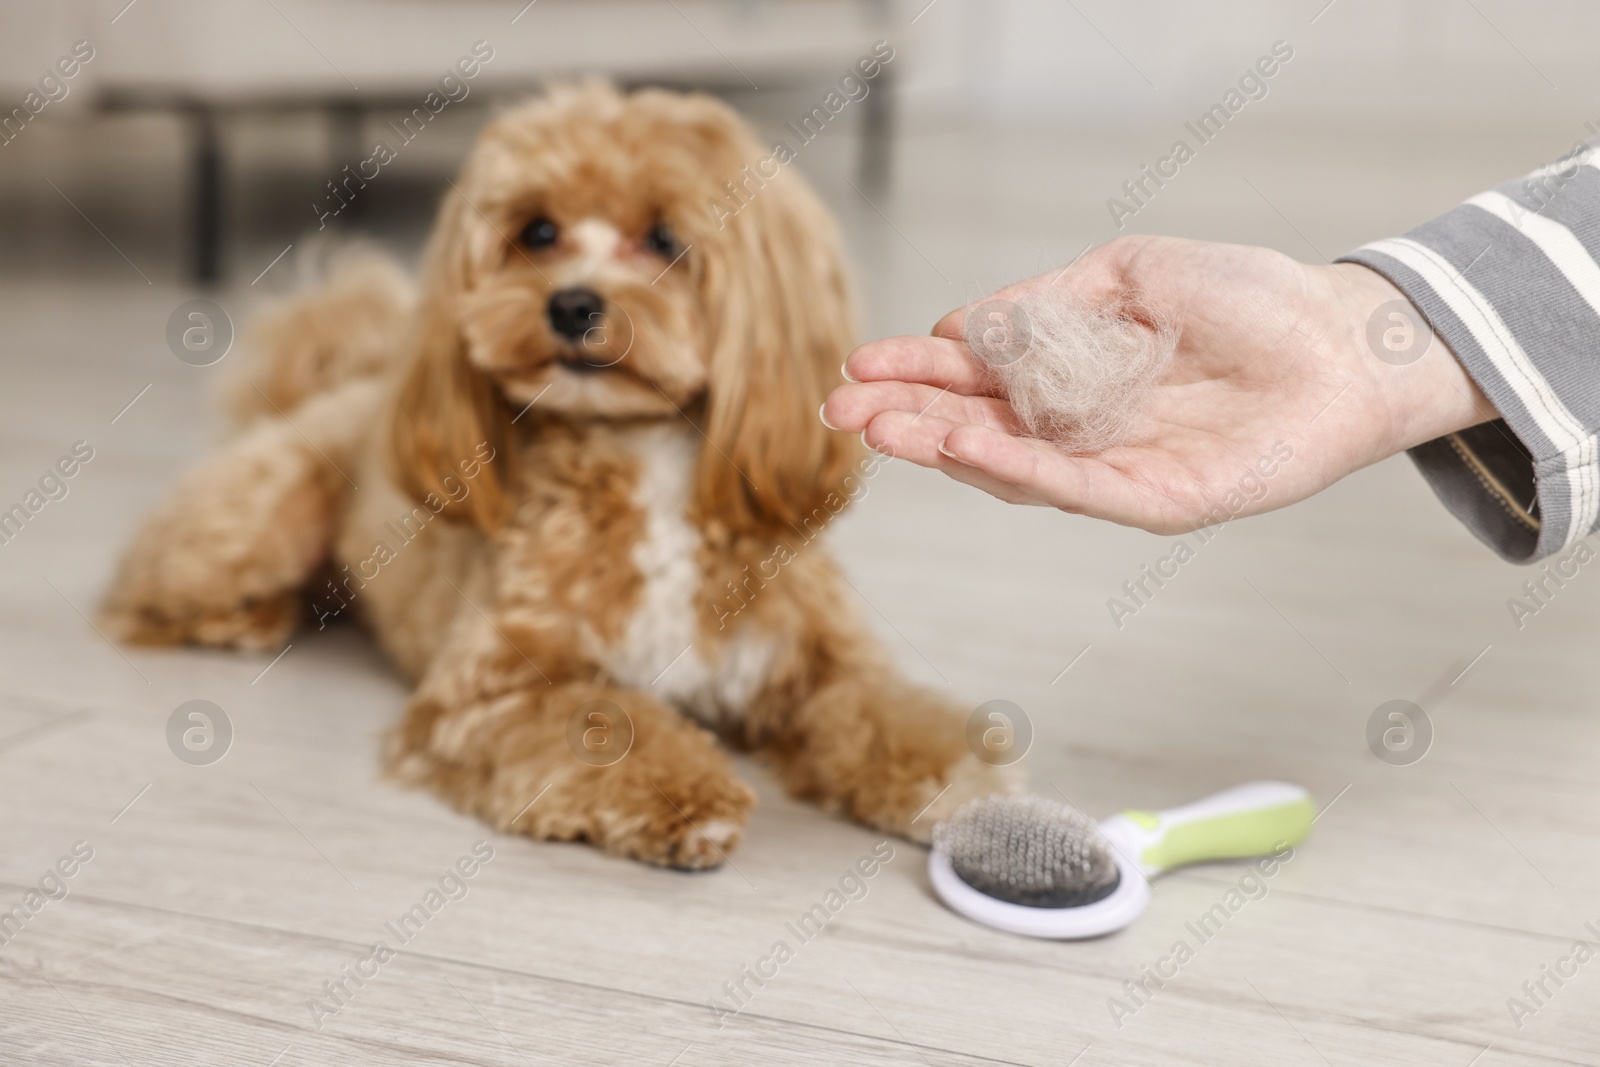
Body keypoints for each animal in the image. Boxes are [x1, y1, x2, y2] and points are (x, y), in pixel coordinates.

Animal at [103, 83, 1011, 870]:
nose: (572, 305)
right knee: (138, 592)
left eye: (665, 239)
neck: (648, 464)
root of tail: (347, 381)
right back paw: (244, 616)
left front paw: (961, 777)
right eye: (538, 232)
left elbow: (883, 713)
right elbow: (607, 719)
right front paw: (688, 795)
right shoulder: (490, 690)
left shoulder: (816, 665)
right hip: (257, 522)